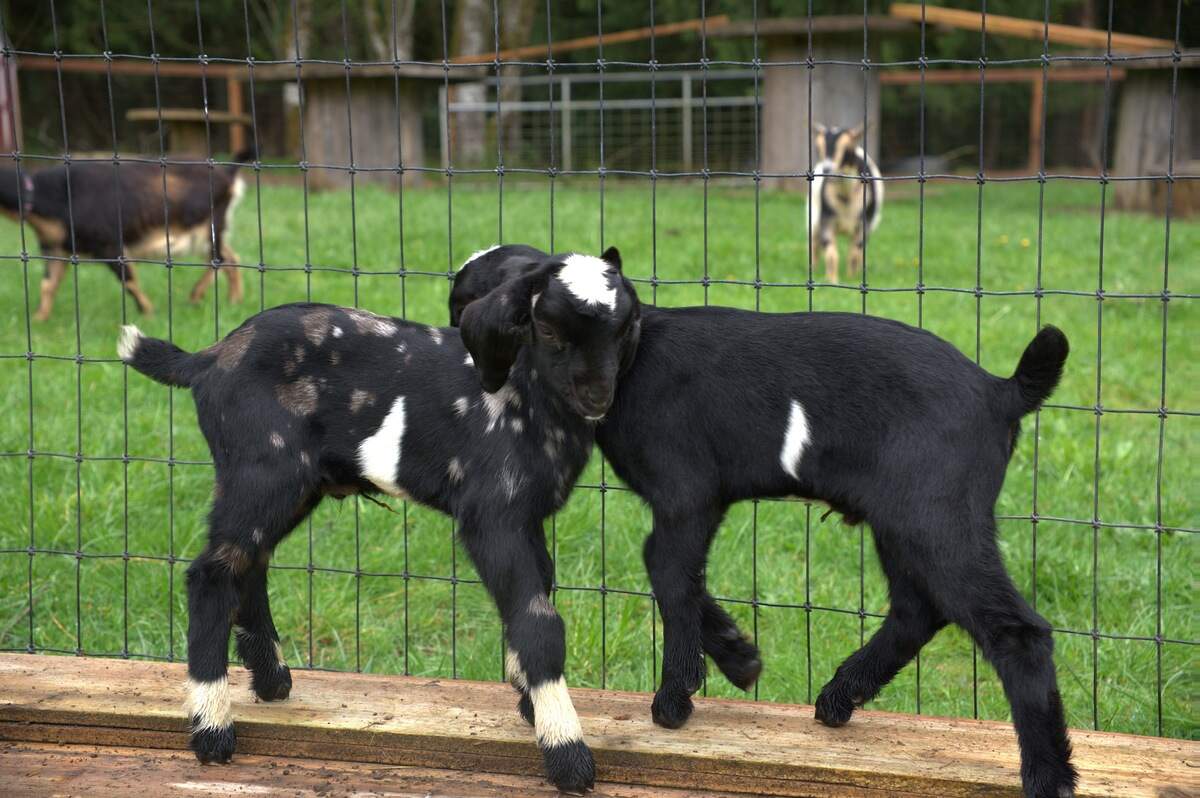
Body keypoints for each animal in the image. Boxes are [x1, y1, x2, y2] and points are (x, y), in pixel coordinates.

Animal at [1, 154, 249, 321]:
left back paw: (196, 296)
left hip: (208, 227)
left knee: (219, 259)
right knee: (231, 258)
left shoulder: (108, 244)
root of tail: (228, 174)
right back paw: (233, 301)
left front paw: (147, 313)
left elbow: (128, 279)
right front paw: (38, 319)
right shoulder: (56, 248)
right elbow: (48, 284)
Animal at [116, 248, 640, 794]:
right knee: (212, 573)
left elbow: (531, 600)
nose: (597, 397)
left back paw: (271, 680)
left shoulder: (529, 517)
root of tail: (208, 358)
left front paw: (529, 705)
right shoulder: (493, 514)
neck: (525, 398)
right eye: (549, 328)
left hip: (289, 485)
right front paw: (566, 751)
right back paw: (212, 729)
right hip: (262, 469)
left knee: (249, 564)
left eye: (626, 327)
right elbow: (538, 622)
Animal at [452, 245, 1076, 798]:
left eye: (621, 327)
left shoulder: (686, 491)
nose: (594, 397)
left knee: (1015, 632)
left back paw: (1050, 777)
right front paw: (739, 656)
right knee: (916, 609)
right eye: (547, 330)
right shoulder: (704, 501)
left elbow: (667, 571)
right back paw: (838, 698)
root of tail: (999, 391)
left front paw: (675, 699)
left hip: (937, 515)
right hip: (904, 520)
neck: (638, 364)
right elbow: (681, 575)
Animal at [809, 125, 883, 284]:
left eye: (847, 148)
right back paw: (813, 268)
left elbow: (855, 252)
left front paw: (852, 279)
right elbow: (830, 253)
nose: (827, 169)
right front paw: (832, 280)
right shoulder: (826, 218)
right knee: (814, 242)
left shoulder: (865, 222)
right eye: (817, 148)